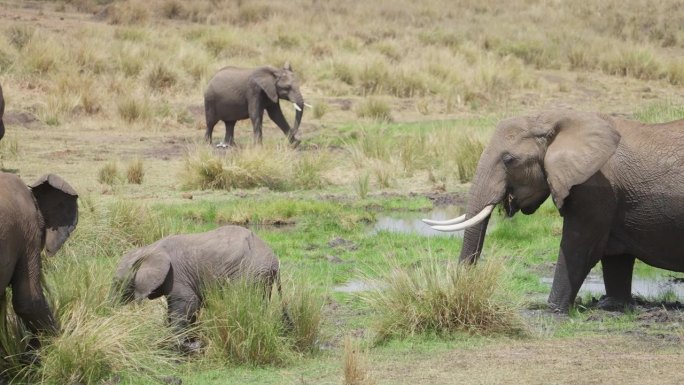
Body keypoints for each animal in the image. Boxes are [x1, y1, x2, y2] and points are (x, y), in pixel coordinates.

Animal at [111, 225, 280, 352]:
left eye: (117, 283)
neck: (147, 249)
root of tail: (274, 260)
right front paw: (188, 343)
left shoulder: (176, 275)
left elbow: (188, 303)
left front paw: (178, 344)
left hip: (249, 274)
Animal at [422, 109, 684, 312]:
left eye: (508, 160)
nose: (463, 289)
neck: (554, 120)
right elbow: (616, 257)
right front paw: (612, 306)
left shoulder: (595, 189)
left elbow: (578, 249)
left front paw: (552, 309)